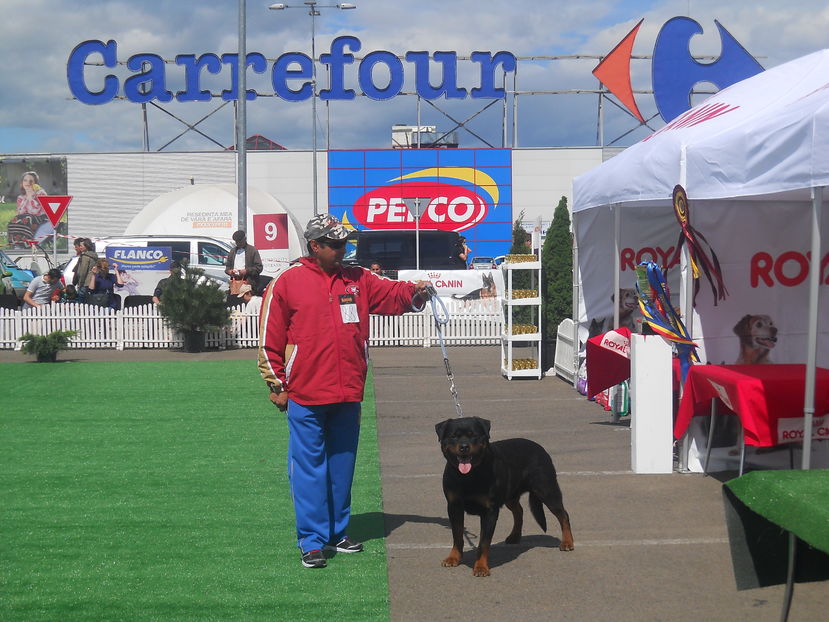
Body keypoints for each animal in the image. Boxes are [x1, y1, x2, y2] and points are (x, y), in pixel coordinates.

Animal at [435, 416, 574, 577]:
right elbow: (457, 535)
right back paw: (515, 535)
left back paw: (567, 542)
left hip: (546, 490)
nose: (464, 446)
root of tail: (540, 448)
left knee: (563, 514)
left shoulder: (490, 511)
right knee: (519, 511)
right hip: (511, 495)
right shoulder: (454, 506)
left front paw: (481, 567)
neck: (468, 476)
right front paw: (453, 558)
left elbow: (483, 543)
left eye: (473, 435)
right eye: (454, 436)